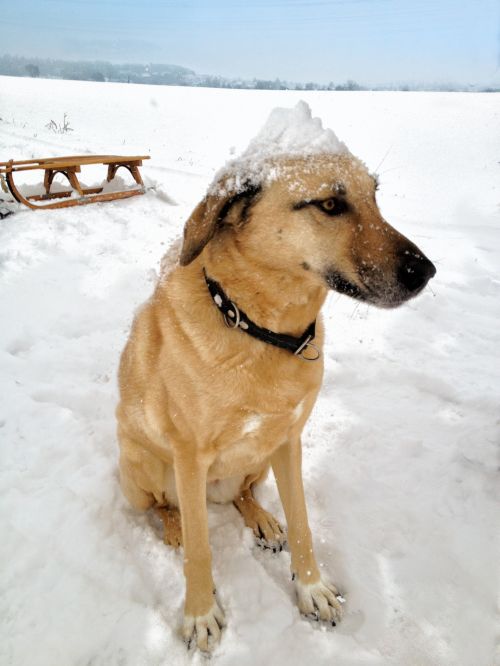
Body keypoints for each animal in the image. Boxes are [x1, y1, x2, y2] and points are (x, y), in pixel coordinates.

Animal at [115, 134, 436, 648]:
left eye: (375, 196)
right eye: (330, 204)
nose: (425, 271)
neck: (262, 331)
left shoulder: (287, 441)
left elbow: (303, 525)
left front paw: (312, 590)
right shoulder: (188, 456)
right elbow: (202, 550)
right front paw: (200, 613)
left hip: (258, 461)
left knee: (244, 494)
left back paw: (261, 518)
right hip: (141, 466)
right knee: (167, 507)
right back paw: (175, 527)